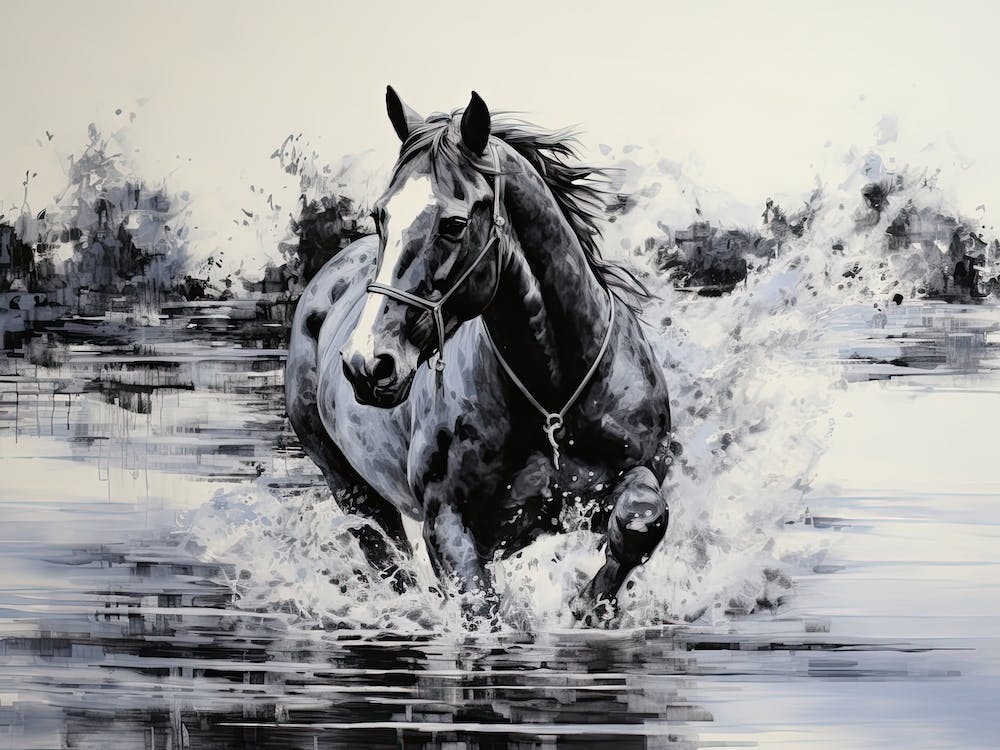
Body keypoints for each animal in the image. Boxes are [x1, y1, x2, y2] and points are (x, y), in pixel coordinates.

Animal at [285, 88, 674, 624]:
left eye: (453, 223)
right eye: (381, 215)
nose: (367, 365)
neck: (552, 398)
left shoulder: (636, 472)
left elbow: (640, 523)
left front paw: (588, 605)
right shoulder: (449, 526)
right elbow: (482, 611)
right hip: (351, 489)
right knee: (387, 557)